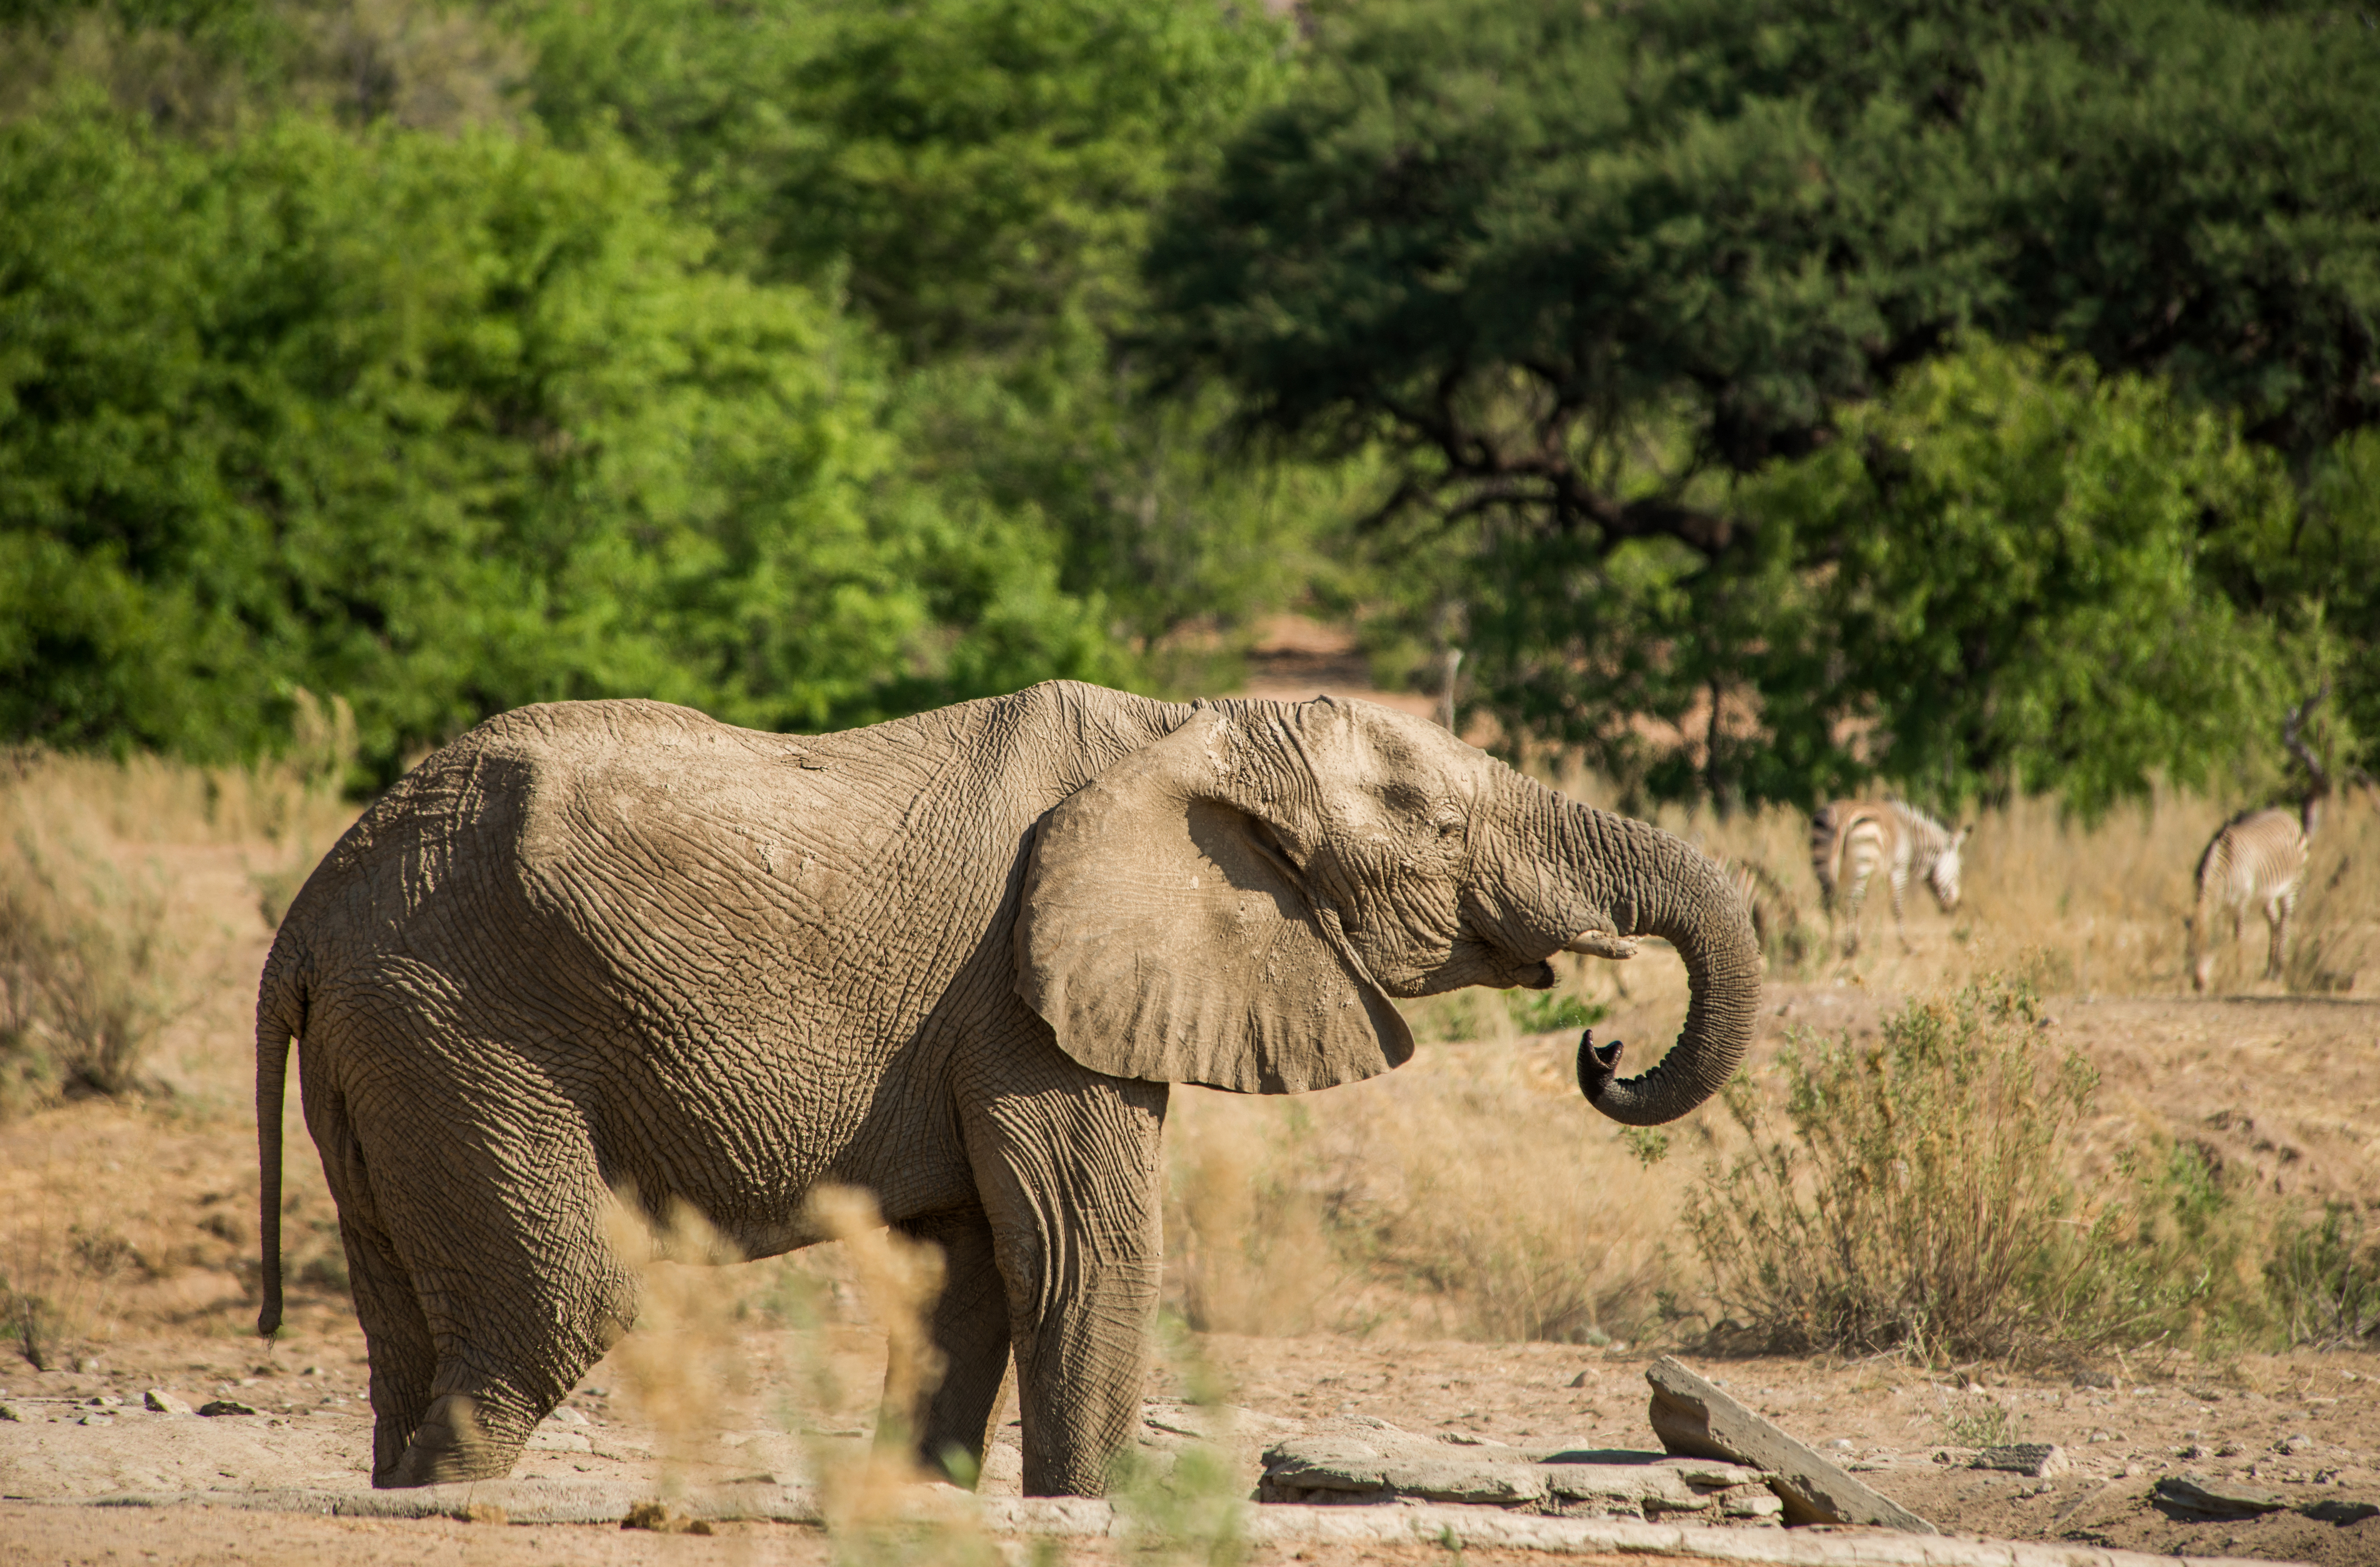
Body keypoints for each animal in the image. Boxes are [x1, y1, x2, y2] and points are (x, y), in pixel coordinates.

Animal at [254, 681, 1758, 1495]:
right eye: (1438, 829)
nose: (1602, 1049)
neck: (1187, 729)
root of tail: (311, 911)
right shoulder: (1027, 1001)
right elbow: (1082, 1253)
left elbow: (967, 1277)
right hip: (463, 1024)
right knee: (551, 1307)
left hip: (392, 1048)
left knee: (408, 1331)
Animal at [1809, 799, 1970, 956]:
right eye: (1960, 868)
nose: (1957, 907)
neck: (1910, 835)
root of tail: (1842, 816)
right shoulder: (1899, 867)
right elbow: (1897, 905)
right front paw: (1907, 946)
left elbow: (1861, 905)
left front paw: (1855, 939)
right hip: (1863, 865)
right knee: (1851, 901)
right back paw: (1850, 949)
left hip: (1824, 863)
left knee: (1829, 903)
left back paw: (1833, 947)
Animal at [2187, 686, 2329, 992]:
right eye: (2188, 952)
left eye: (2208, 950)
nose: (2199, 985)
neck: (2221, 871)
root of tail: (2285, 814)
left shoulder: (2241, 901)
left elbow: (2238, 936)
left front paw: (2239, 973)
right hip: (2267, 893)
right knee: (2273, 921)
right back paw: (2269, 970)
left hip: (2292, 884)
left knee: (2285, 920)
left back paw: (2280, 969)